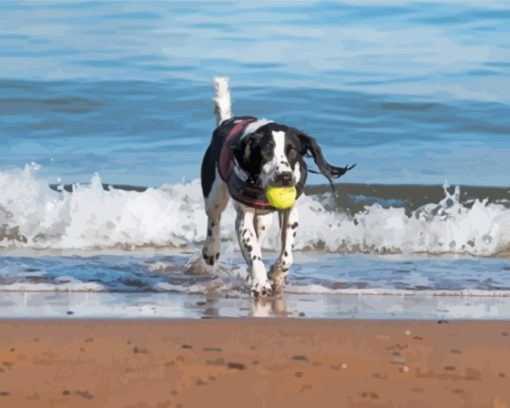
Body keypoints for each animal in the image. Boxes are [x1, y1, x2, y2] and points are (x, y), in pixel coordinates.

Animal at [200, 78, 354, 298]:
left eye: (293, 150)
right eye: (266, 151)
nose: (284, 177)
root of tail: (226, 121)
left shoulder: (290, 210)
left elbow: (286, 255)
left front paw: (276, 274)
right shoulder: (243, 215)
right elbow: (252, 250)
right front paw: (260, 282)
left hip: (264, 219)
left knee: (259, 234)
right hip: (214, 191)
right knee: (214, 217)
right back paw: (211, 250)